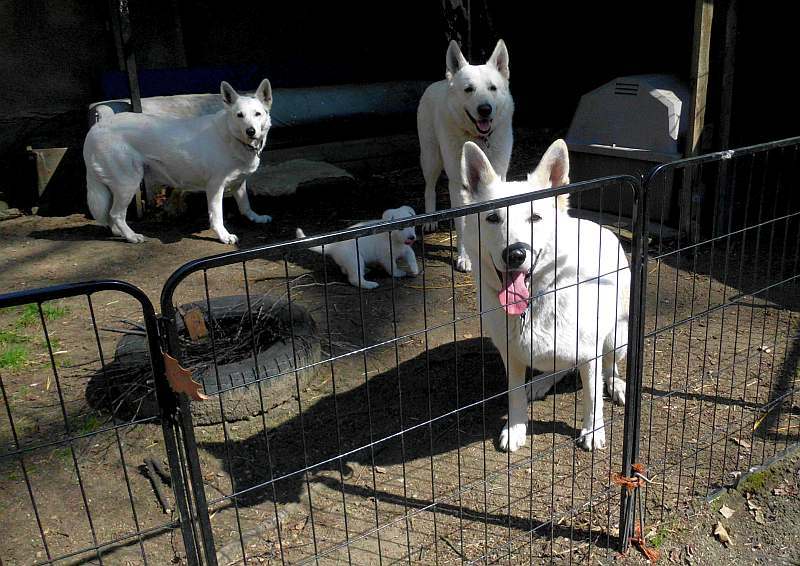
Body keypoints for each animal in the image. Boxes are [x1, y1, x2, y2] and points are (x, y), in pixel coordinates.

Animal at [83, 79, 274, 244]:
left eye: (257, 114)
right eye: (239, 115)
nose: (251, 131)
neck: (232, 137)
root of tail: (95, 129)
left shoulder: (238, 182)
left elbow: (245, 205)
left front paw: (255, 218)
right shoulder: (215, 187)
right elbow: (217, 216)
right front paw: (224, 236)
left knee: (110, 214)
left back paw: (118, 232)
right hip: (127, 184)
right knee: (116, 214)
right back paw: (131, 236)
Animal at [418, 38, 512, 274]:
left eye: (493, 88)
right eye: (469, 89)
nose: (485, 109)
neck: (480, 139)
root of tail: (440, 82)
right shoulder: (459, 186)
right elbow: (461, 224)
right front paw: (465, 257)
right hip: (431, 159)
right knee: (429, 188)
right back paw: (430, 219)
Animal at [460, 141, 628, 452]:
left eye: (534, 218)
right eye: (493, 218)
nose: (515, 254)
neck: (535, 300)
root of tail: (600, 227)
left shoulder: (591, 353)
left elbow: (592, 396)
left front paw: (592, 429)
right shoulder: (511, 356)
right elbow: (514, 395)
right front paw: (516, 428)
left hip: (617, 337)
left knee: (608, 366)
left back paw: (616, 384)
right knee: (559, 367)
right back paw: (540, 383)